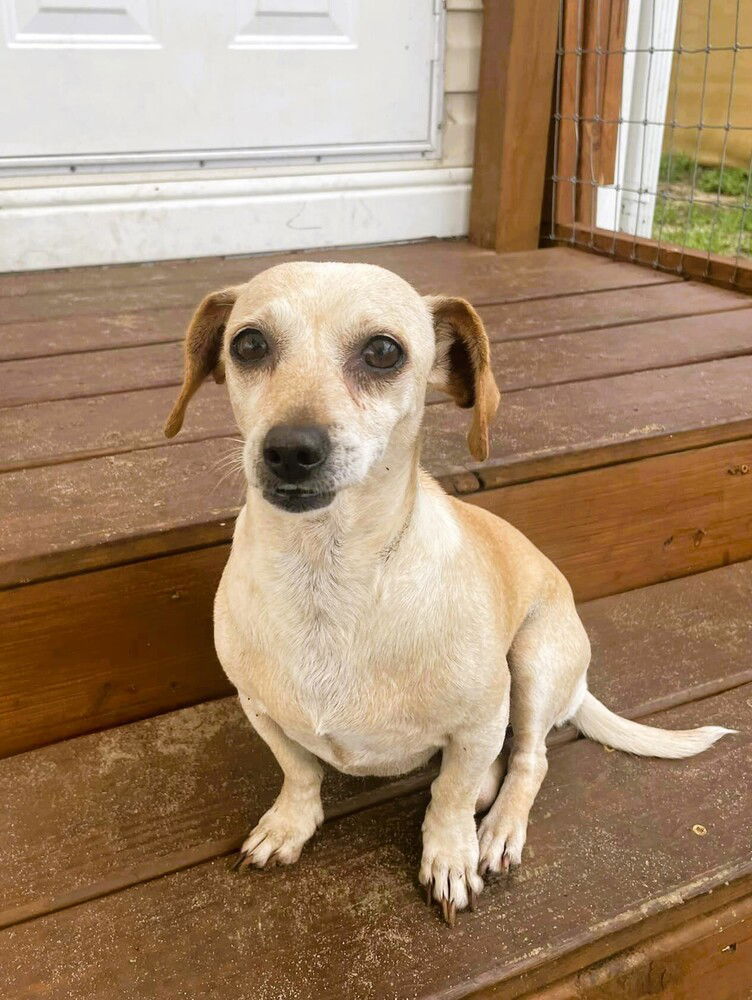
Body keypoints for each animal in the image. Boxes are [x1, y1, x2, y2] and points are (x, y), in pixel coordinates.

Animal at [164, 262, 736, 924]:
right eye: (249, 344)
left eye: (384, 351)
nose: (290, 449)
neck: (327, 579)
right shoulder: (260, 711)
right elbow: (300, 770)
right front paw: (289, 825)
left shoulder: (482, 722)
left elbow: (451, 793)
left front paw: (450, 855)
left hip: (534, 663)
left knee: (529, 760)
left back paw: (499, 829)